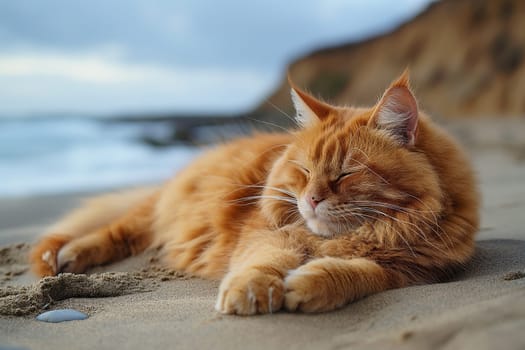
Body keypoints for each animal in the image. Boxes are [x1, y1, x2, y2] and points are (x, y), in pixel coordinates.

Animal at [29, 71, 478, 314]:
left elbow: (356, 272)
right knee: (114, 233)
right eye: (304, 171)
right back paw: (65, 258)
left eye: (347, 173)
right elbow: (263, 262)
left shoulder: (410, 272)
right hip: (157, 212)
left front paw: (309, 285)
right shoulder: (266, 234)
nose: (312, 199)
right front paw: (252, 290)